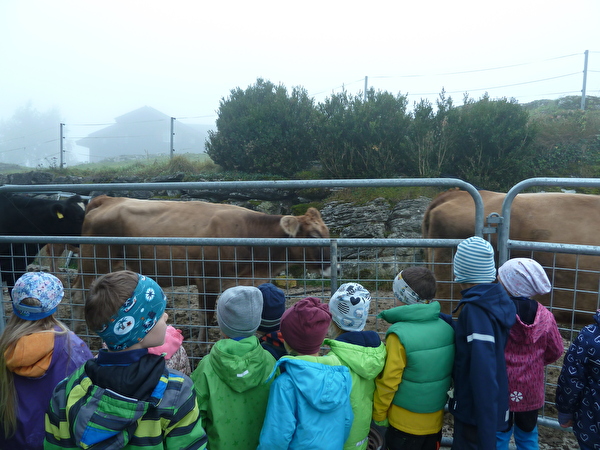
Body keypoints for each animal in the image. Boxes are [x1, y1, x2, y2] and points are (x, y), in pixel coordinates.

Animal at [71, 195, 332, 340]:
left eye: (327, 232)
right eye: (312, 236)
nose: (331, 265)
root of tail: (108, 199)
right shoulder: (207, 279)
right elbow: (205, 316)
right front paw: (200, 345)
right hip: (94, 262)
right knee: (77, 295)